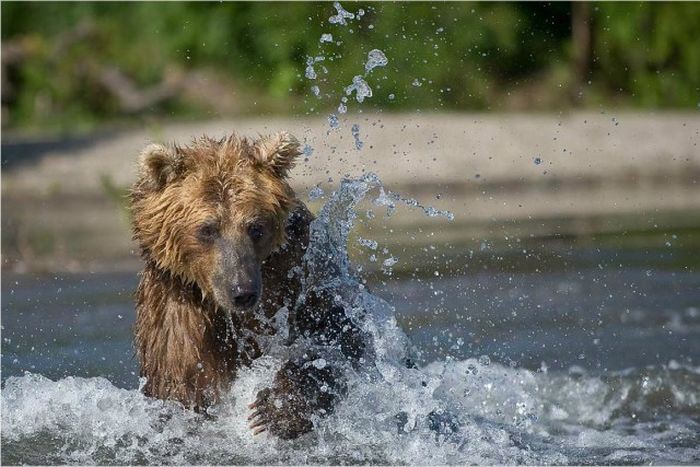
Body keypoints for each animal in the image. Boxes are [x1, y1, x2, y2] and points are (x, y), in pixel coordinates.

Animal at [129, 132, 366, 438]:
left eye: (256, 227)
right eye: (207, 229)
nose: (242, 292)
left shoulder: (300, 275)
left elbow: (340, 339)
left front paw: (274, 408)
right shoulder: (176, 311)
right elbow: (181, 384)